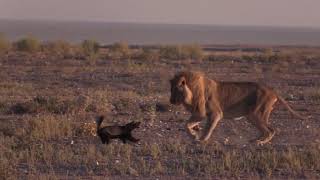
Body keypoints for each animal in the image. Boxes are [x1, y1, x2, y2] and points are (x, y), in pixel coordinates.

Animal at [170, 70, 308, 145]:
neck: (191, 92)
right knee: (266, 130)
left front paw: (200, 139)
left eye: (175, 89)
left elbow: (206, 128)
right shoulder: (199, 113)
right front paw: (195, 133)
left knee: (271, 130)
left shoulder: (214, 113)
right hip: (252, 116)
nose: (171, 101)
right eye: (170, 89)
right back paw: (254, 140)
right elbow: (188, 125)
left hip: (257, 114)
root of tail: (272, 91)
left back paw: (258, 142)